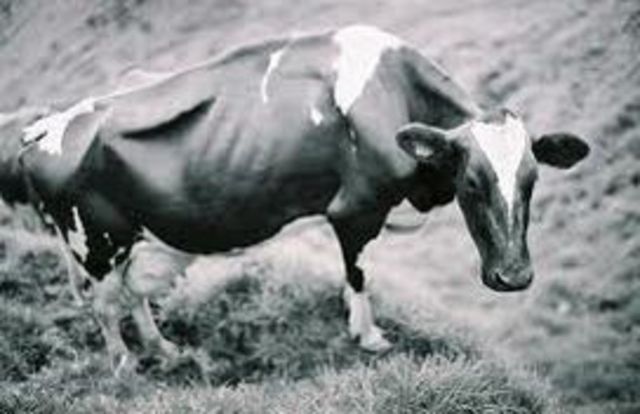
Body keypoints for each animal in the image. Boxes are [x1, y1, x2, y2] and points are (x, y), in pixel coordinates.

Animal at [0, 25, 589, 374]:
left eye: (532, 180)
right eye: (471, 183)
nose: (513, 277)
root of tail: (43, 126)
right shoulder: (356, 209)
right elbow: (359, 273)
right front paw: (369, 336)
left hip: (133, 239)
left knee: (131, 294)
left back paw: (165, 350)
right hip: (95, 240)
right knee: (105, 304)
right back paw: (126, 366)